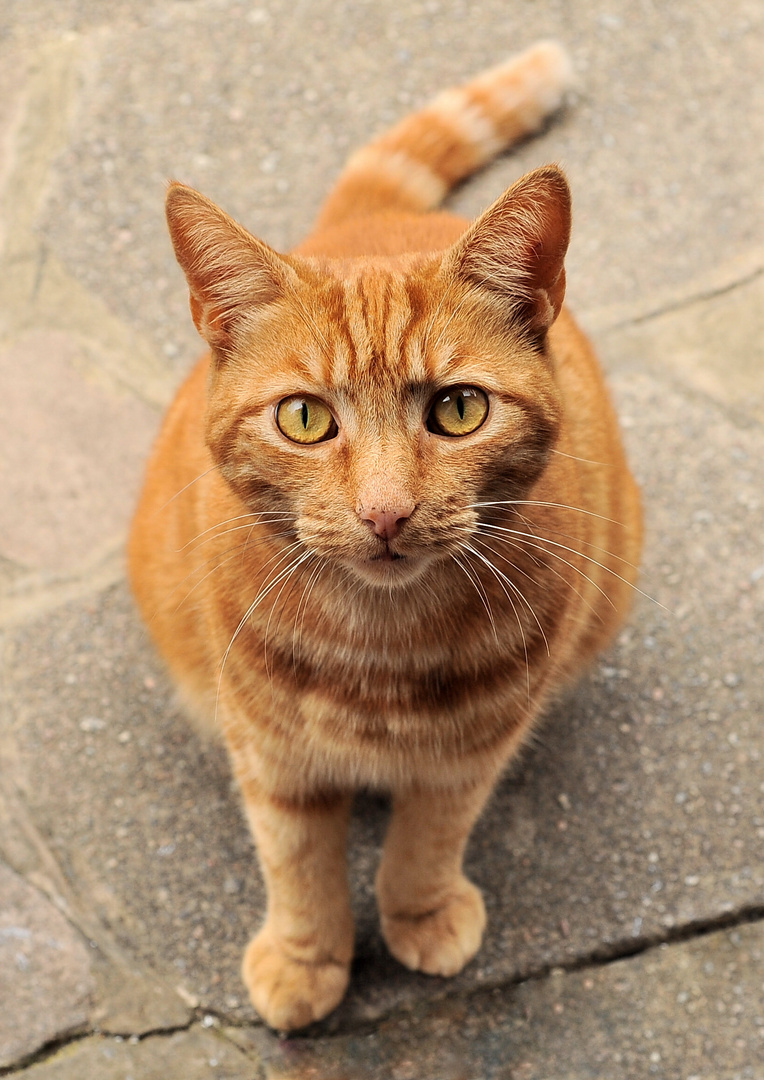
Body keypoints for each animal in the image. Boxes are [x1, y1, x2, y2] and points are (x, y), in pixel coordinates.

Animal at [130, 42, 639, 1028]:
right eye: (303, 419)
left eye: (459, 409)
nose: (385, 512)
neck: (380, 649)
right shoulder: (270, 750)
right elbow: (295, 864)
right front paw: (306, 958)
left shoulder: (473, 751)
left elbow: (427, 839)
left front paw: (421, 913)